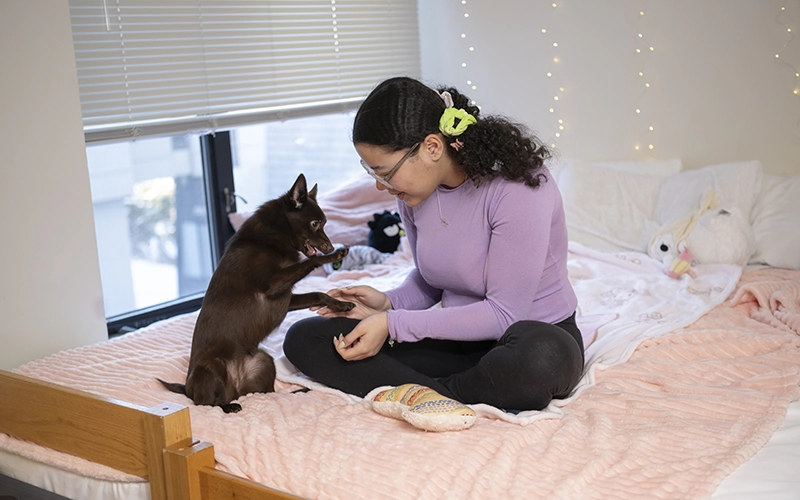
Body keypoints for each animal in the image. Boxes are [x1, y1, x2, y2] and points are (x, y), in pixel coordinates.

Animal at [159, 174, 354, 412]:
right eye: (315, 223)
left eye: (324, 223)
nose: (330, 247)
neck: (274, 235)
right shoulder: (271, 285)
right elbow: (311, 261)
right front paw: (333, 256)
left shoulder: (285, 297)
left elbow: (317, 293)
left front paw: (340, 304)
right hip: (212, 367)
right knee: (207, 404)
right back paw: (229, 407)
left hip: (264, 361)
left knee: (267, 394)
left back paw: (298, 391)